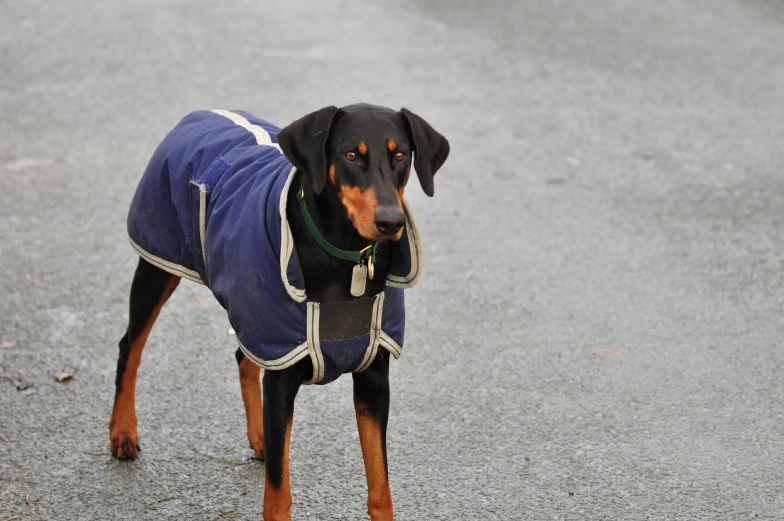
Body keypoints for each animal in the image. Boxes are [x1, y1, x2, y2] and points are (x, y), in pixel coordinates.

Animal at [112, 103, 450, 516]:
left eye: (400, 155)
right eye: (351, 155)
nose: (391, 222)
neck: (344, 261)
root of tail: (202, 111)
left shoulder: (372, 379)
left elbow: (380, 488)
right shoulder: (281, 378)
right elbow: (278, 494)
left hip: (253, 311)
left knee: (243, 358)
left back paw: (260, 437)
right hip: (159, 265)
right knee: (131, 346)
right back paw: (122, 431)